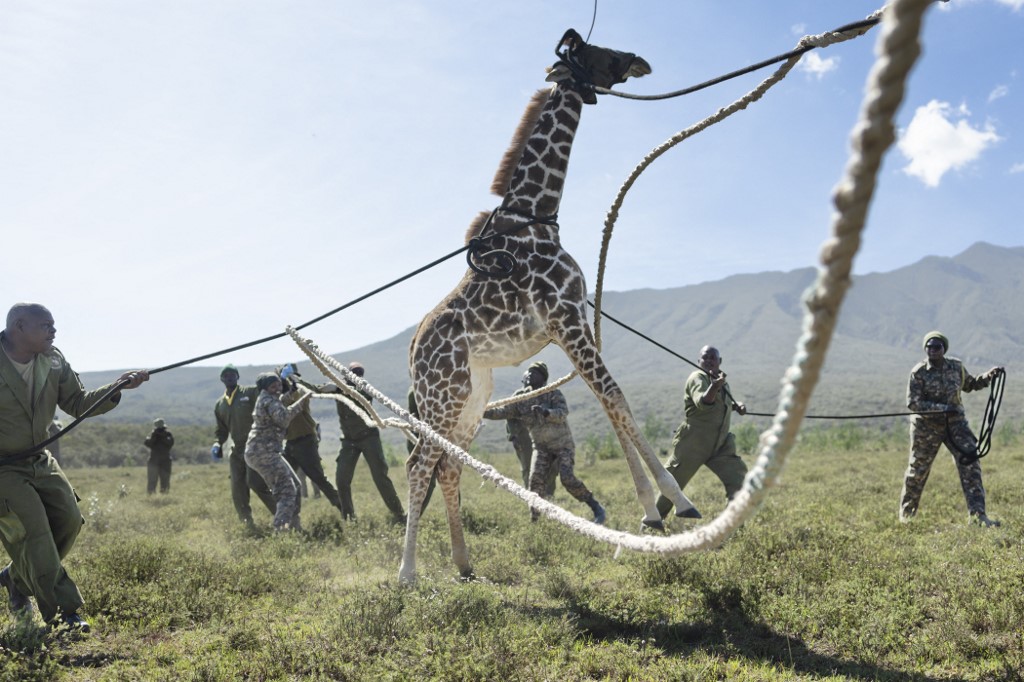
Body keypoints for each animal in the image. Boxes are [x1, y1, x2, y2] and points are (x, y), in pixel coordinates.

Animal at [401, 30, 700, 584]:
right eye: (599, 52)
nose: (639, 61)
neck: (536, 216)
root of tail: (412, 351)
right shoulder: (565, 318)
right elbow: (617, 398)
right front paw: (674, 502)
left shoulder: (572, 323)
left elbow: (608, 402)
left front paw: (651, 512)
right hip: (441, 395)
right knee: (418, 464)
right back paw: (407, 573)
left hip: (472, 395)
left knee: (447, 463)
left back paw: (465, 565)